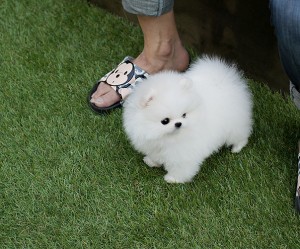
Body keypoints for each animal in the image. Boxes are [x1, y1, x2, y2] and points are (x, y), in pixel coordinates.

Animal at [123, 57, 252, 184]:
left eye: (184, 115)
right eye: (165, 121)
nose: (178, 123)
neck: (167, 138)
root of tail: (224, 81)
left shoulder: (184, 153)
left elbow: (181, 167)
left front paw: (173, 179)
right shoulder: (153, 146)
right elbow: (155, 155)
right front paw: (152, 162)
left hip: (235, 126)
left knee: (241, 136)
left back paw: (237, 148)